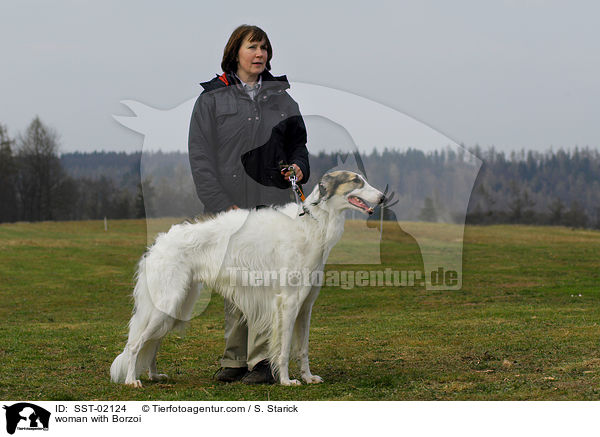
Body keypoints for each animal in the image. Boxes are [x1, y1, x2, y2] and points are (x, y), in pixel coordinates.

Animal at [111, 170, 384, 384]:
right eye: (356, 181)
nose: (383, 197)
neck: (312, 223)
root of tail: (158, 244)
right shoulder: (288, 302)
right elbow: (284, 349)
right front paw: (287, 381)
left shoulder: (306, 305)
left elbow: (303, 349)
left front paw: (308, 377)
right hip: (168, 301)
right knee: (136, 345)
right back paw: (132, 380)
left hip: (176, 306)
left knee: (152, 344)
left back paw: (154, 375)